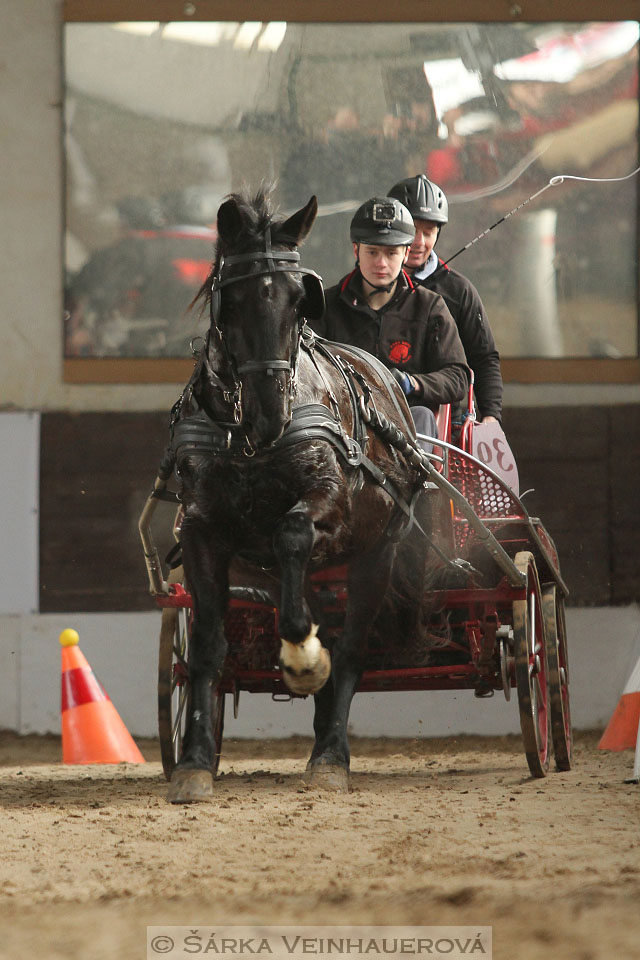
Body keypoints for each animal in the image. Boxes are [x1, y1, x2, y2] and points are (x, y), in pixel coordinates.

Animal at [168, 188, 442, 804]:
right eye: (233, 298)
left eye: (300, 300)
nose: (271, 410)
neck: (251, 440)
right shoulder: (201, 529)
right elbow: (206, 648)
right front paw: (194, 763)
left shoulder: (329, 507)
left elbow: (293, 535)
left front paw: (303, 660)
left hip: (375, 554)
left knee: (352, 647)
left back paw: (331, 753)